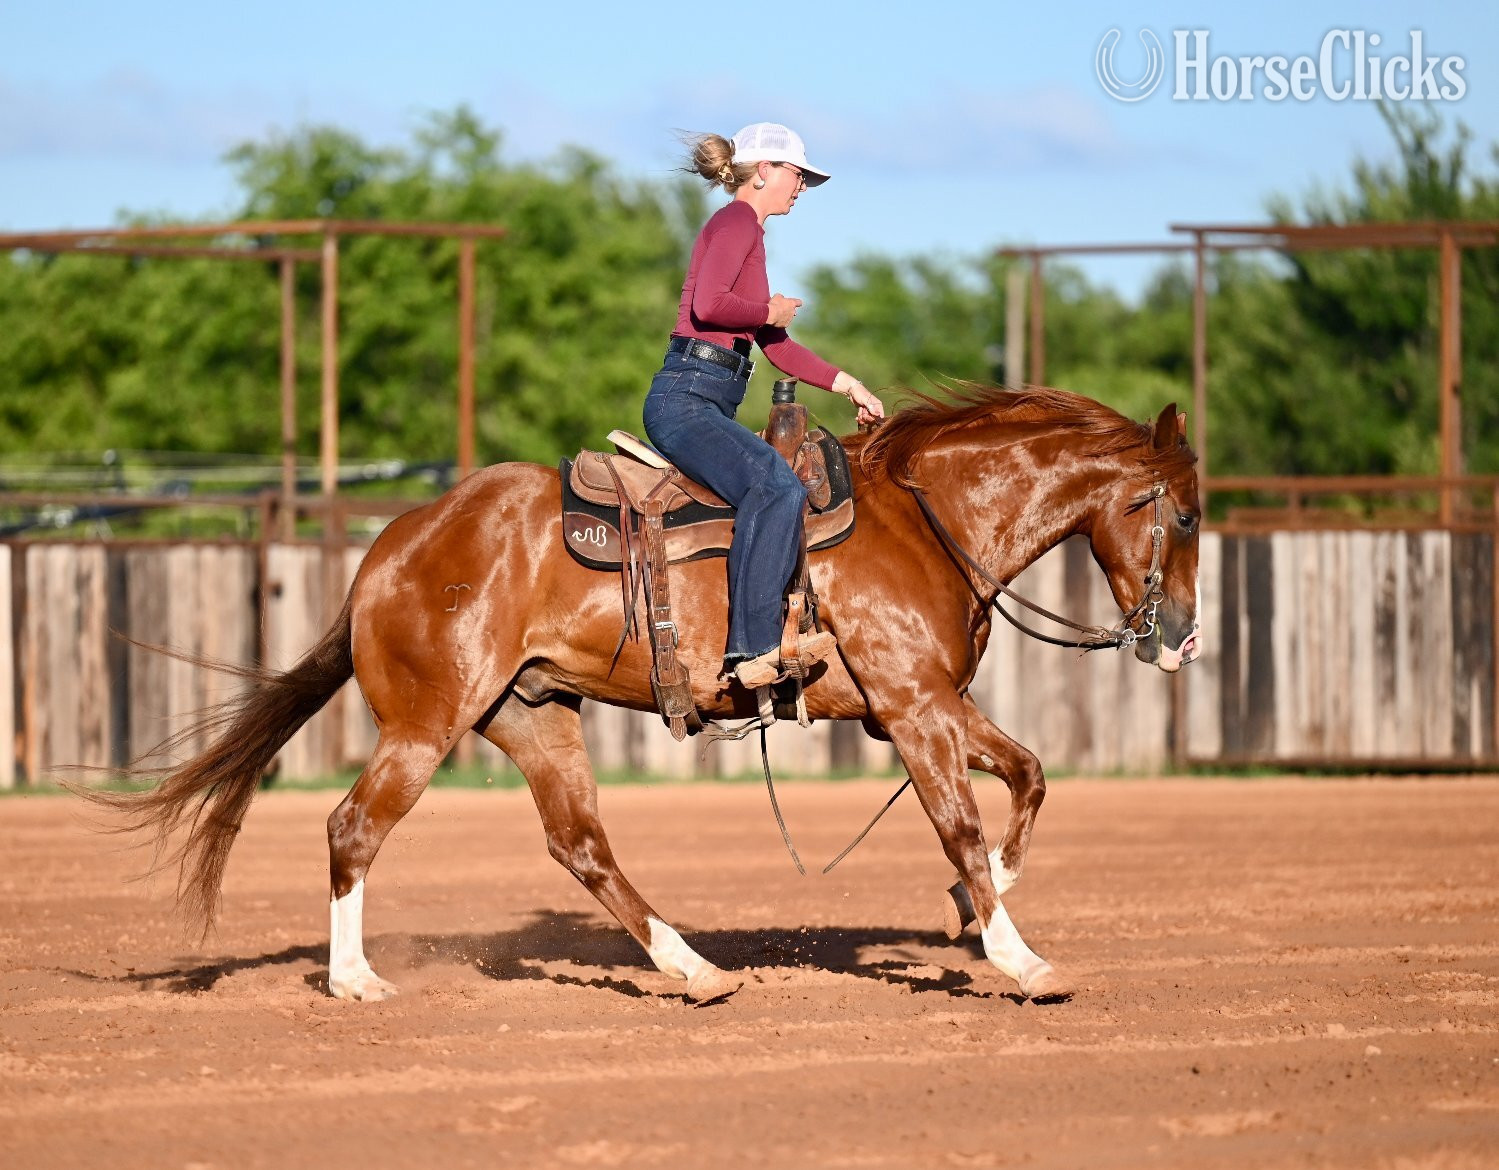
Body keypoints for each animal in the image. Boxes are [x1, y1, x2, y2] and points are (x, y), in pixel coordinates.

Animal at [84, 384, 1201, 1005]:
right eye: (1186, 514)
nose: (1182, 637)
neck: (923, 520)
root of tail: (390, 546)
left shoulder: (922, 706)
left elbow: (1028, 775)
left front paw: (982, 905)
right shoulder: (915, 710)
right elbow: (962, 823)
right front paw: (1018, 956)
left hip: (533, 716)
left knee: (580, 845)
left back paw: (693, 970)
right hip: (426, 722)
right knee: (355, 827)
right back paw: (354, 979)